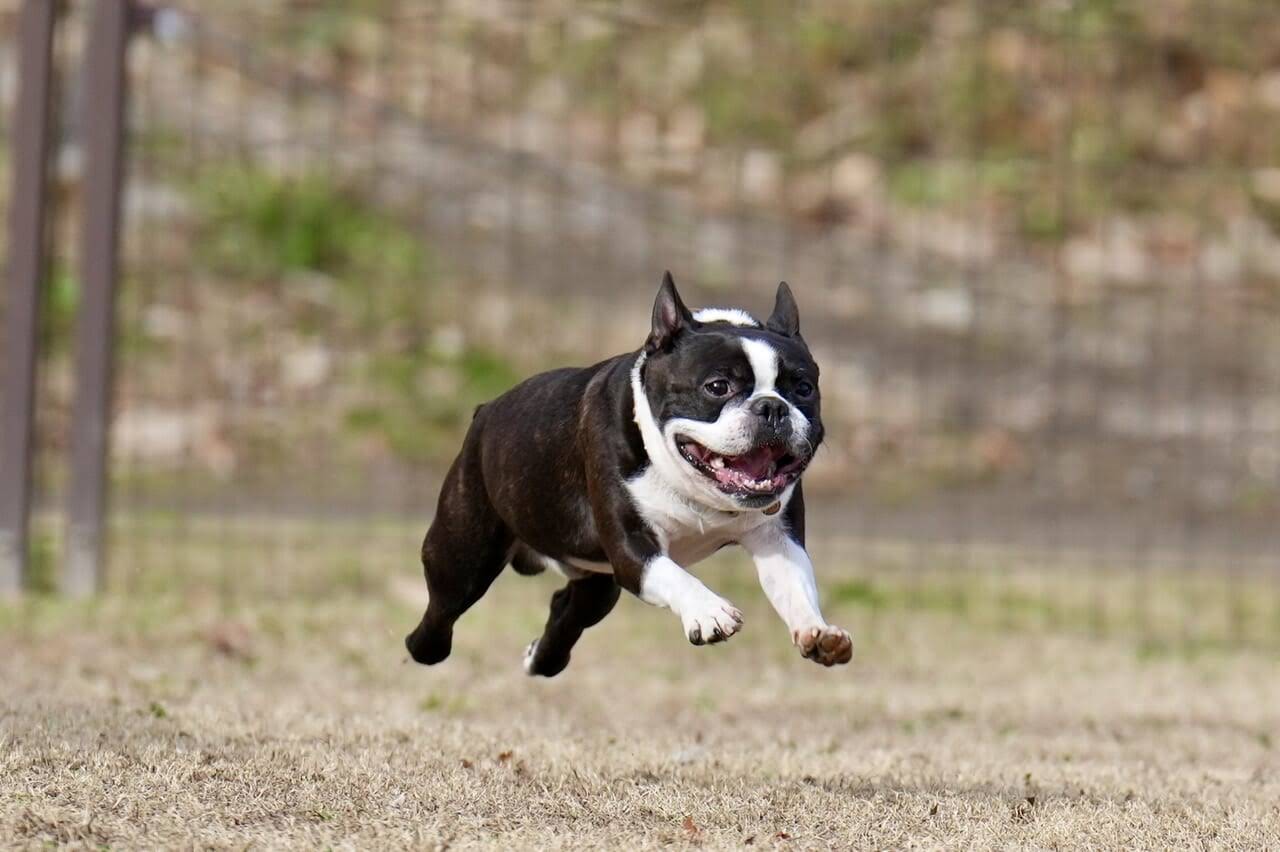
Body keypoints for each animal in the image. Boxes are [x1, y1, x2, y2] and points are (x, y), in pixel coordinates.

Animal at [404, 273, 855, 675]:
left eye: (803, 389)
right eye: (717, 386)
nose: (772, 407)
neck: (691, 486)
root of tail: (485, 411)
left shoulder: (776, 538)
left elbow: (794, 585)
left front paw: (818, 632)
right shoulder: (632, 548)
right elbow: (675, 575)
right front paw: (708, 611)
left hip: (596, 583)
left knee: (568, 612)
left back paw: (541, 660)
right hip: (462, 556)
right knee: (442, 613)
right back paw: (420, 647)